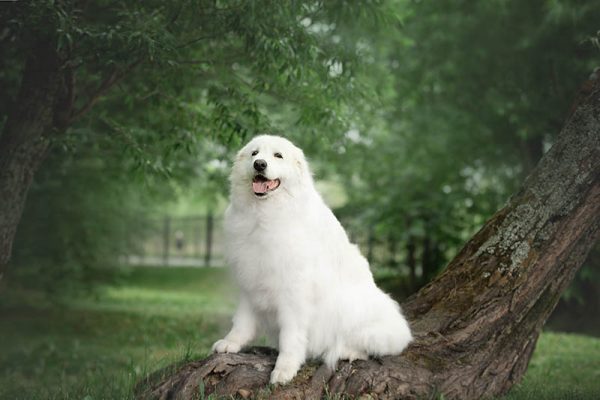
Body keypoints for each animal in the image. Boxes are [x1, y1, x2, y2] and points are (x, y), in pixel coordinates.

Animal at [212, 135, 412, 384]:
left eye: (278, 156)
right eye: (254, 153)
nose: (259, 164)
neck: (265, 213)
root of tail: (403, 329)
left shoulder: (294, 292)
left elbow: (291, 335)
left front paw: (285, 368)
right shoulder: (250, 282)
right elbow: (242, 321)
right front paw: (231, 342)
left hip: (355, 312)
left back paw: (347, 352)